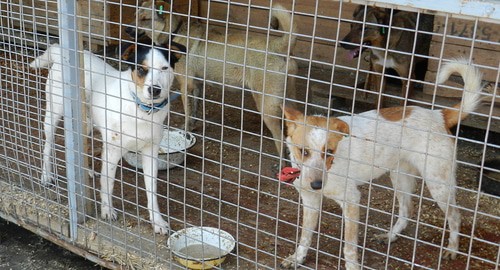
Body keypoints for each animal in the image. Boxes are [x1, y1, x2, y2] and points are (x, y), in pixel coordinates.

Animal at [30, 41, 186, 233]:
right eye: (141, 69)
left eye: (164, 68)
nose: (154, 90)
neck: (141, 110)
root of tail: (61, 50)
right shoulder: (112, 152)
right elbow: (107, 182)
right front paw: (107, 210)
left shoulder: (151, 152)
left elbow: (152, 190)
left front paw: (157, 221)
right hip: (53, 113)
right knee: (47, 145)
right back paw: (46, 175)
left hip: (85, 124)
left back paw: (86, 171)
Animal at [125, 0, 296, 156]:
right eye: (135, 15)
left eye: (145, 19)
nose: (127, 29)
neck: (176, 32)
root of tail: (277, 46)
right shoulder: (197, 86)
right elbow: (195, 109)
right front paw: (192, 126)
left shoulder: (185, 87)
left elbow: (187, 113)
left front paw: (186, 131)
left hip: (267, 106)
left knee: (280, 140)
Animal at [280, 59, 482, 270]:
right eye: (303, 151)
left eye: (329, 152)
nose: (317, 185)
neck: (331, 169)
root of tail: (439, 114)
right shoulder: (310, 201)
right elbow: (305, 236)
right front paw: (297, 258)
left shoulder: (352, 201)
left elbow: (349, 248)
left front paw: (352, 266)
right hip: (400, 177)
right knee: (406, 210)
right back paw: (391, 236)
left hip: (438, 184)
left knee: (455, 216)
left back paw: (452, 248)